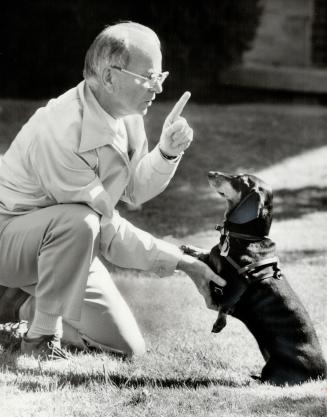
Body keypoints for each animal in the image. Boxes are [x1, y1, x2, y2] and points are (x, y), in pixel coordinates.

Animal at [183, 171, 326, 386]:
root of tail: (322, 372)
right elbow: (207, 255)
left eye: (239, 179)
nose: (210, 173)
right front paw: (188, 249)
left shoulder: (238, 281)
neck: (245, 237)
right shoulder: (215, 259)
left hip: (274, 366)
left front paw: (219, 322)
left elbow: (226, 302)